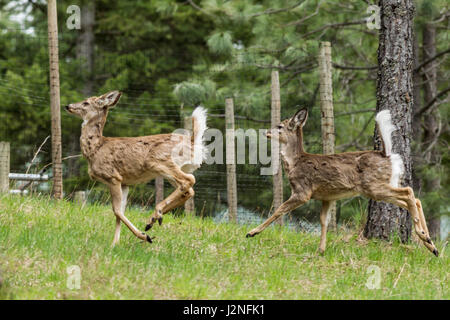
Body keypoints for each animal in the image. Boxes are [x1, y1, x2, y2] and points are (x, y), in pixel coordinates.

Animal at [64, 91, 208, 246]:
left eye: (86, 103)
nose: (68, 106)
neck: (96, 148)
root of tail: (194, 142)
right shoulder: (125, 182)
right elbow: (120, 212)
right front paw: (115, 243)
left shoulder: (113, 176)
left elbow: (116, 210)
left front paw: (144, 236)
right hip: (173, 168)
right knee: (189, 190)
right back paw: (154, 219)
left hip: (159, 162)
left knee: (189, 180)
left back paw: (155, 215)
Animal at [246, 107, 440, 258]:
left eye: (279, 126)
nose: (265, 132)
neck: (294, 163)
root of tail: (386, 154)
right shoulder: (327, 197)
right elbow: (324, 221)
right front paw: (321, 250)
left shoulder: (303, 191)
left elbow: (279, 210)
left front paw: (252, 232)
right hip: (382, 186)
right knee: (414, 199)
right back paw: (431, 245)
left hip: (373, 186)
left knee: (409, 192)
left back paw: (423, 236)